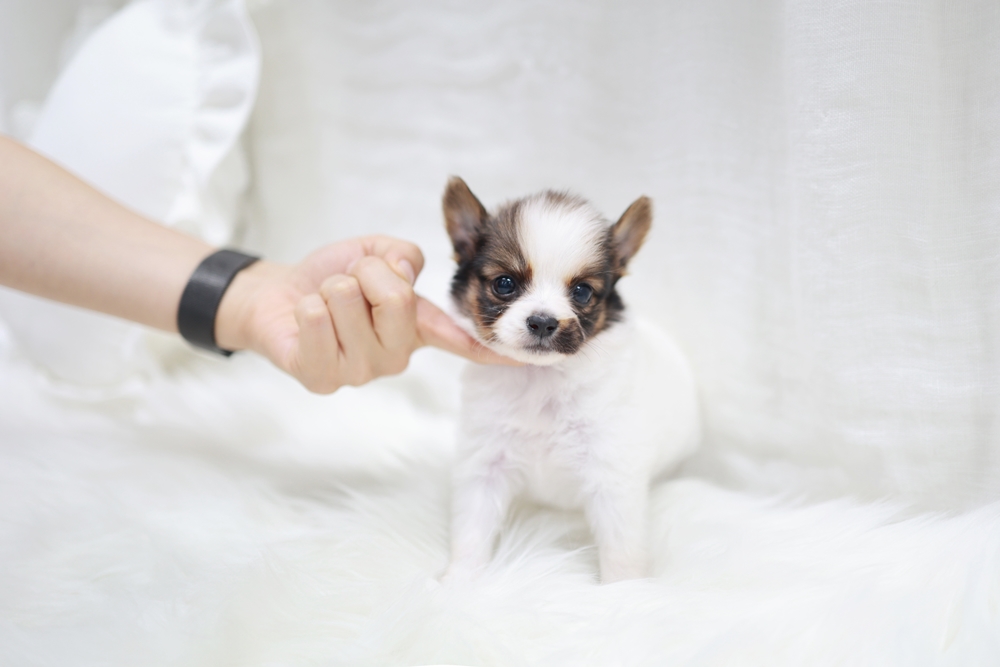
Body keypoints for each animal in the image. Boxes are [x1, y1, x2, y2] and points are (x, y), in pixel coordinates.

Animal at [443, 177, 700, 583]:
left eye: (582, 291)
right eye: (504, 284)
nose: (543, 321)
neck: (540, 377)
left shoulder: (611, 473)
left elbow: (621, 546)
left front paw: (627, 590)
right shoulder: (484, 465)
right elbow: (472, 528)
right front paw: (460, 580)